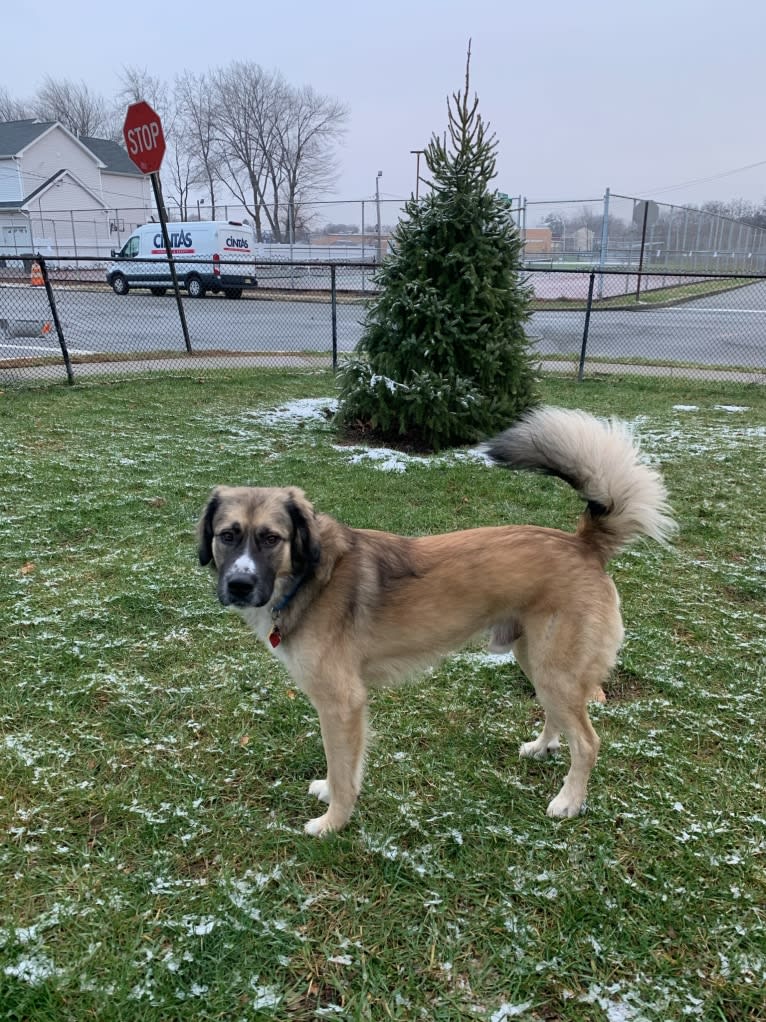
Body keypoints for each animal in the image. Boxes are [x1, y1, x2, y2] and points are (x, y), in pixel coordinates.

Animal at [198, 406, 678, 838]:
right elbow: (345, 768)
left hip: (555, 670)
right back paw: (542, 749)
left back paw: (569, 801)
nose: (239, 585)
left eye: (271, 539)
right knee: (559, 720)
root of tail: (583, 544)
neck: (310, 577)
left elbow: (342, 769)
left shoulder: (341, 702)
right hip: (536, 661)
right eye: (227, 535)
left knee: (588, 742)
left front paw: (333, 823)